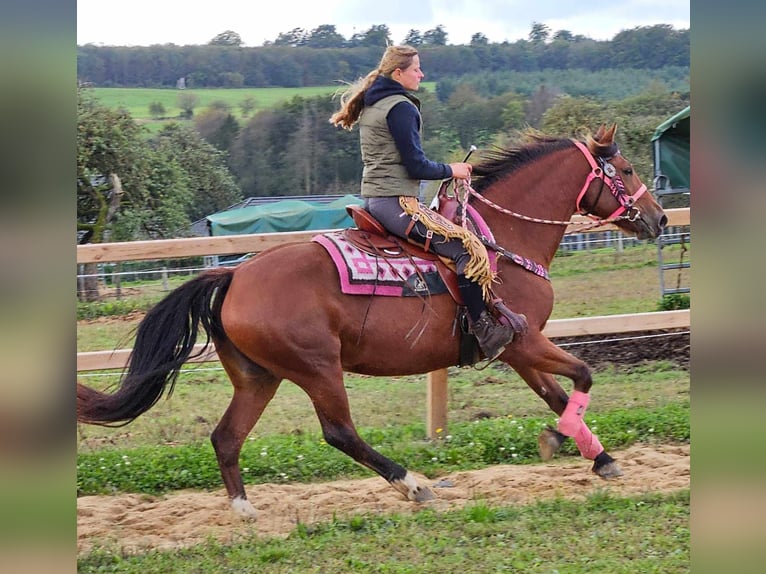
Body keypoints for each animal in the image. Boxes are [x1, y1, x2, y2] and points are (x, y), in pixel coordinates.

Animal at [78, 126, 664, 520]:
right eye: (627, 170)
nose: (658, 219)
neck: (500, 241)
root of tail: (234, 275)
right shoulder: (523, 342)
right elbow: (583, 375)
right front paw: (563, 441)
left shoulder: (518, 349)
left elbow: (558, 394)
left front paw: (597, 455)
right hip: (317, 368)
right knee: (339, 432)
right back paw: (415, 485)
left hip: (258, 377)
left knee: (226, 437)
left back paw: (244, 509)